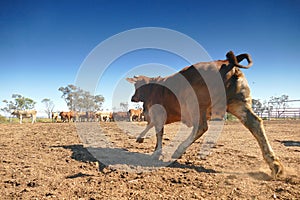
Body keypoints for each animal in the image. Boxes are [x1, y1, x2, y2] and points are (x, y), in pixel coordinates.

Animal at [126, 50, 284, 178]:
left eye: (136, 85)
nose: (132, 97)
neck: (153, 87)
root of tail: (227, 63)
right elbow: (151, 126)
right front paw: (141, 139)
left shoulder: (158, 114)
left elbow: (158, 131)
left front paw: (156, 152)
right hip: (239, 103)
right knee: (255, 123)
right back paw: (275, 165)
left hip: (196, 105)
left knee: (201, 127)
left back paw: (179, 150)